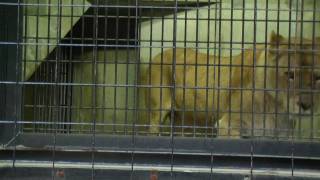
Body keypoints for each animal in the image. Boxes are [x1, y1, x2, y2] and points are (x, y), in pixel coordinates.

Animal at [143, 31, 320, 137]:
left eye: (318, 77)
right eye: (290, 75)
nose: (306, 105)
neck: (278, 108)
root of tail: (159, 54)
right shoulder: (228, 125)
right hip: (157, 112)